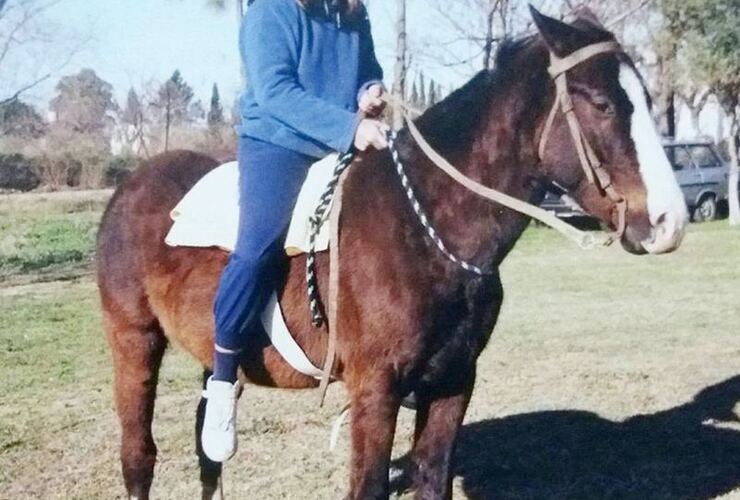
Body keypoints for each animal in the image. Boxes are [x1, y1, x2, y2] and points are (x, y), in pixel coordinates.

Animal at [98, 7, 688, 500]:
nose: (669, 222)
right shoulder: (375, 390)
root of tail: (130, 187)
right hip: (135, 343)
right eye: (603, 103)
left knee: (209, 456)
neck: (424, 228)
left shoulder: (453, 382)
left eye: (647, 100)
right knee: (138, 456)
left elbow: (432, 479)